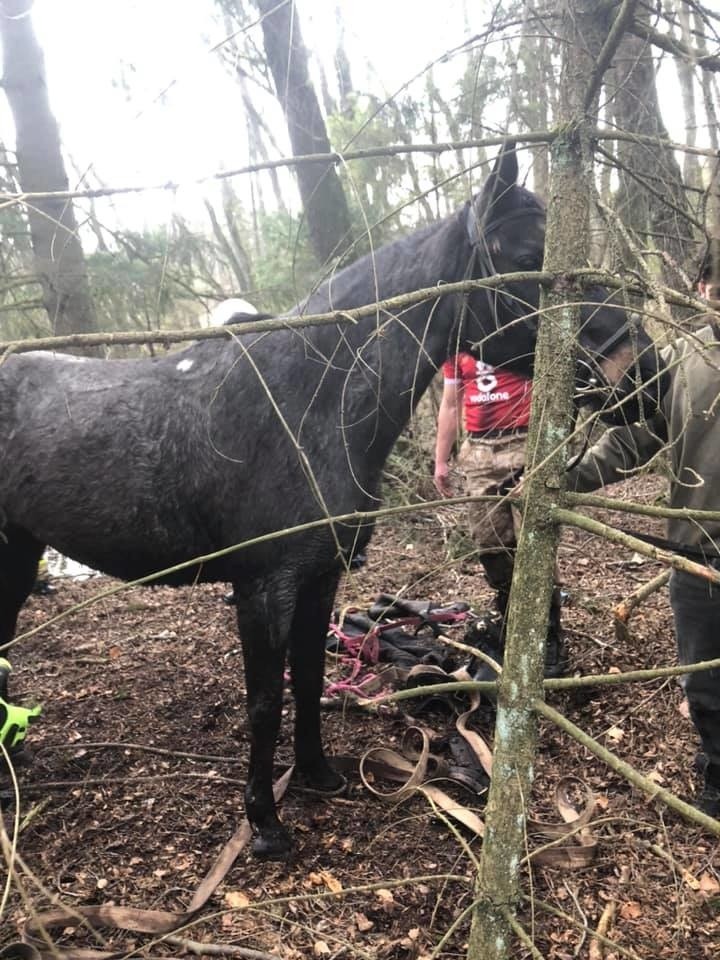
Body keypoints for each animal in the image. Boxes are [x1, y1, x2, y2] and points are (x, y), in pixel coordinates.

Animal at [0, 144, 668, 864]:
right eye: (523, 255)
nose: (646, 374)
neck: (307, 406)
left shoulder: (320, 577)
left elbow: (312, 676)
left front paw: (318, 775)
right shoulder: (263, 588)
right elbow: (266, 700)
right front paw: (265, 825)